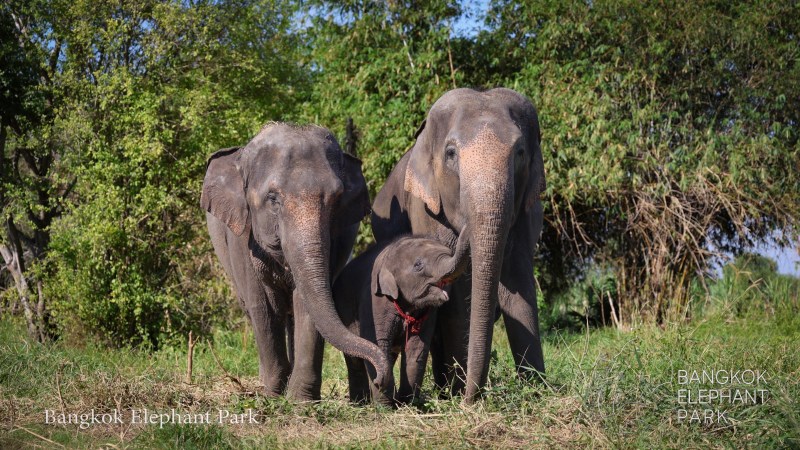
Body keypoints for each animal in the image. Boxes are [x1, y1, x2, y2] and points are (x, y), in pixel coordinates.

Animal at [201, 123, 389, 400]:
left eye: (337, 199)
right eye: (273, 199)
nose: (379, 378)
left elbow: (306, 304)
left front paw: (300, 400)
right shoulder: (242, 238)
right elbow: (262, 306)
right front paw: (273, 395)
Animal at [334, 229, 469, 406]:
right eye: (418, 265)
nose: (377, 381)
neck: (387, 257)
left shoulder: (427, 313)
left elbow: (416, 347)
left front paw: (408, 403)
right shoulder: (374, 302)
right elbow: (378, 342)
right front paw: (385, 406)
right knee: (355, 360)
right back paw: (360, 403)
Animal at [371, 88, 547, 403]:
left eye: (520, 153)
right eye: (451, 154)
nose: (470, 398)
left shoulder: (526, 209)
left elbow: (519, 280)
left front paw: (537, 390)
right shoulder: (426, 210)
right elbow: (458, 291)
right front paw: (458, 393)